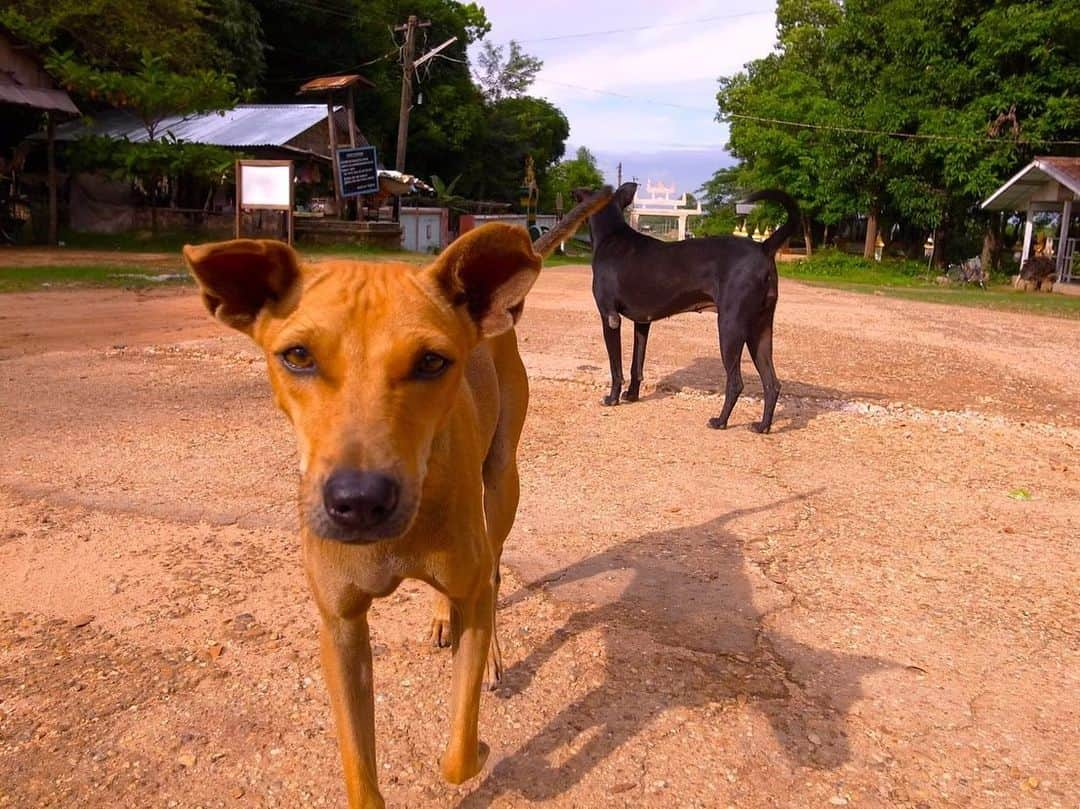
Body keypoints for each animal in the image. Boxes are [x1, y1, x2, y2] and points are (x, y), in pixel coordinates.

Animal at [181, 191, 613, 807]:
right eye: (297, 356)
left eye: (432, 361)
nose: (359, 502)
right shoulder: (340, 628)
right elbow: (361, 770)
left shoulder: (471, 587)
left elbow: (459, 756)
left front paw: (480, 744)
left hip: (502, 480)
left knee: (494, 565)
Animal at [578, 182, 799, 436]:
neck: (612, 236)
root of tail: (764, 247)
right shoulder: (642, 322)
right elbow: (636, 365)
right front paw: (632, 395)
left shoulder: (609, 317)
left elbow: (616, 368)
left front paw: (612, 398)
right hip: (760, 329)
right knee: (772, 383)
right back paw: (763, 426)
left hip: (730, 326)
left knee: (736, 382)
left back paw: (720, 421)